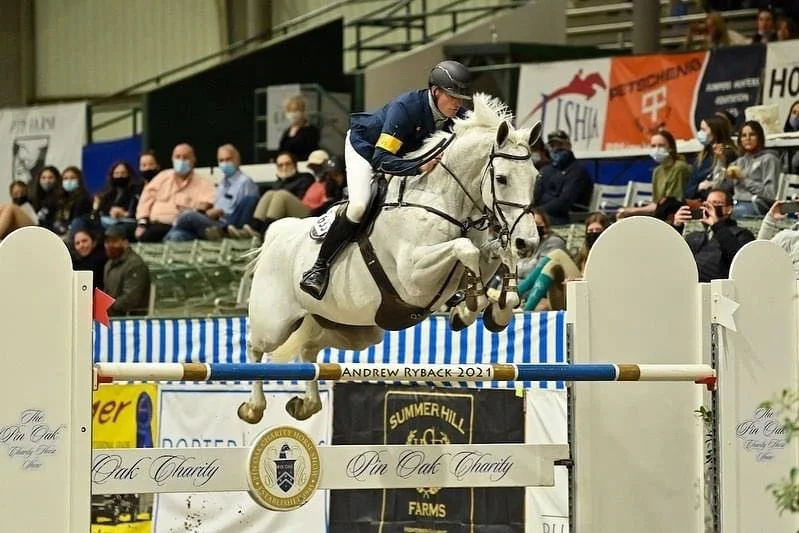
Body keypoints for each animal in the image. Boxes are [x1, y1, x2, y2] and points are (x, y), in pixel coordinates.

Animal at [238, 93, 542, 423]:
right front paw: (471, 305)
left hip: (354, 328)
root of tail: (277, 234)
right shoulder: (413, 276)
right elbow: (466, 249)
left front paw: (493, 309)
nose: (528, 243)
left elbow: (494, 255)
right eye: (501, 178)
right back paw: (253, 407)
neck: (442, 200)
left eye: (536, 177)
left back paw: (306, 404)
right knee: (255, 349)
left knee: (309, 349)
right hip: (274, 324)